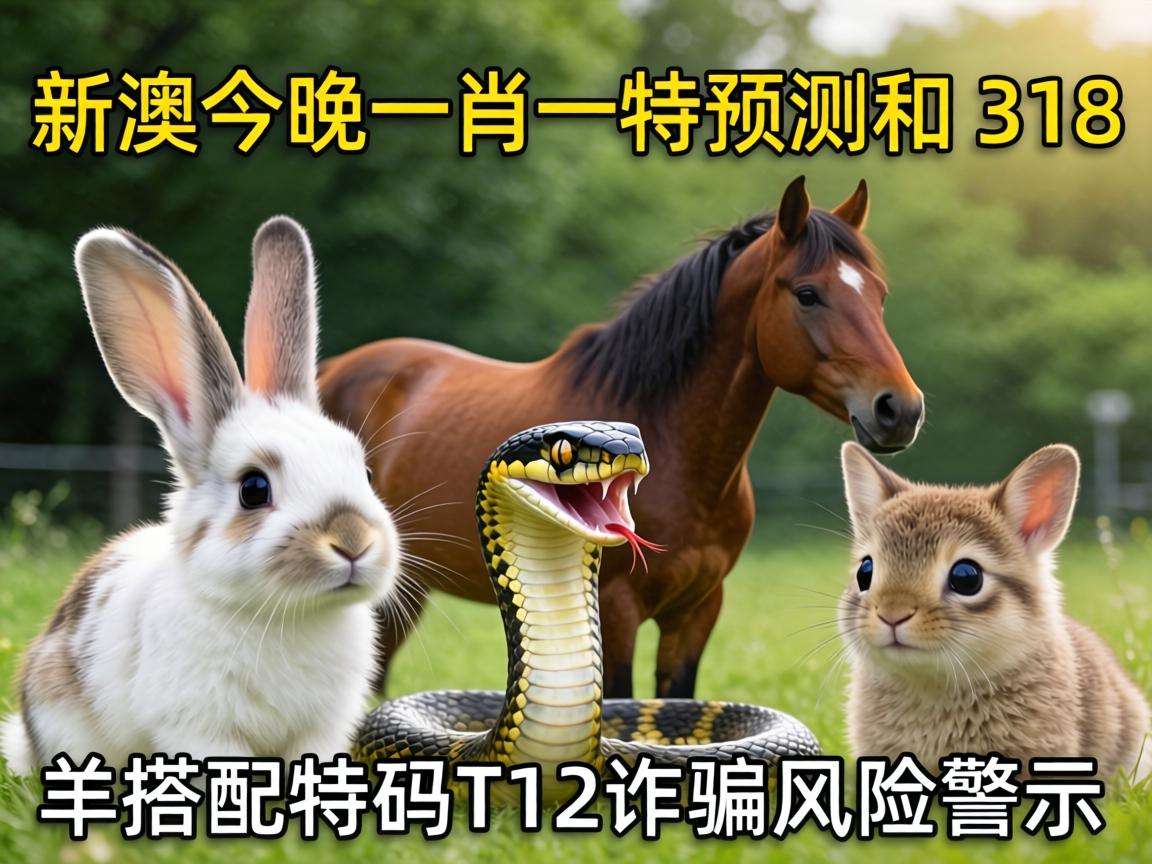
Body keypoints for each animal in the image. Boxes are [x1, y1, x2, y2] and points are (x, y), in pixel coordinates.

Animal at [319, 176, 924, 699]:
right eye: (807, 294)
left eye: (880, 295)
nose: (899, 409)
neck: (677, 451)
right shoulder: (616, 608)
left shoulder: (697, 611)